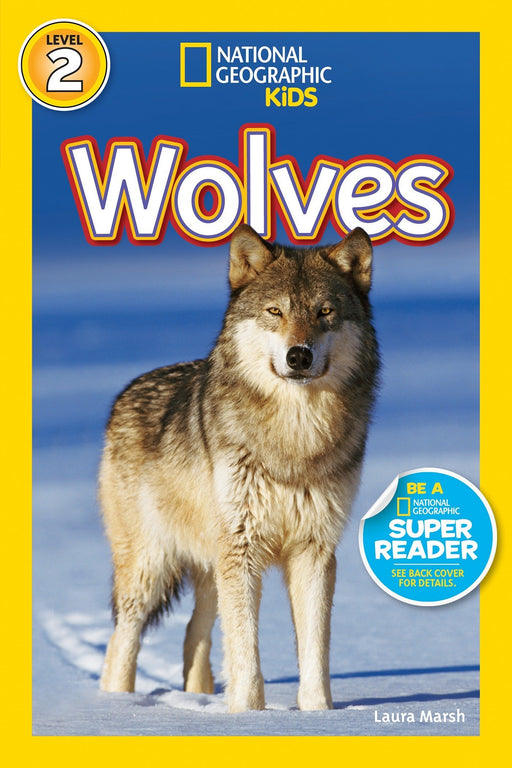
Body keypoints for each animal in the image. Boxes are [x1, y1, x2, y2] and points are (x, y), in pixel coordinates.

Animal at [99, 224, 379, 713]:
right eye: (275, 311)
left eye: (325, 312)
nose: (299, 356)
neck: (293, 438)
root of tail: (126, 391)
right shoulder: (243, 549)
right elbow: (246, 651)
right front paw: (248, 716)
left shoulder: (313, 550)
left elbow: (314, 650)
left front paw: (319, 714)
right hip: (150, 567)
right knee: (122, 641)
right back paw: (117, 705)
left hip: (211, 568)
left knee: (195, 633)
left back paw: (198, 697)